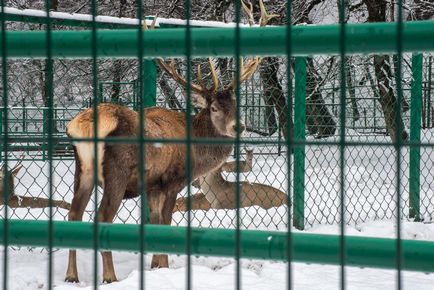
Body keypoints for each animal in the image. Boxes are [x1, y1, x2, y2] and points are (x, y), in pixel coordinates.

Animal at [63, 0, 274, 284]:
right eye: (214, 108)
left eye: (236, 105)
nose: (238, 126)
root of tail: (82, 124)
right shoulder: (172, 181)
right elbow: (165, 221)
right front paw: (162, 265)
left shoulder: (152, 185)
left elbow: (154, 222)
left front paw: (155, 265)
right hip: (117, 172)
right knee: (103, 216)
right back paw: (110, 277)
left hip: (82, 170)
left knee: (73, 214)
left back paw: (71, 276)